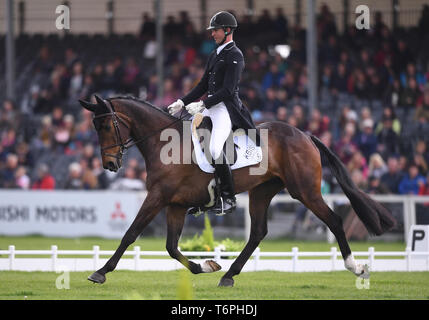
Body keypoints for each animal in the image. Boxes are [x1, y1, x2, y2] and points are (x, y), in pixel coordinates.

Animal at [77, 95, 394, 288]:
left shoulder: (158, 197)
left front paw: (100, 272)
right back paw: (229, 275)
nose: (109, 165)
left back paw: (357, 268)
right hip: (263, 191)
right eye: (95, 126)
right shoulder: (175, 204)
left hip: (304, 191)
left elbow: (130, 234)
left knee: (335, 221)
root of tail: (305, 135)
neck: (165, 143)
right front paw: (206, 266)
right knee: (258, 232)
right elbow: (170, 246)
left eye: (106, 125)